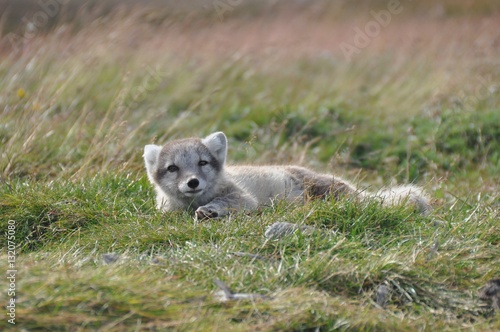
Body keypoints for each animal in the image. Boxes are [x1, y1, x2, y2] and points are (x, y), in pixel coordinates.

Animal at [143, 131, 432, 219]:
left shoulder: (244, 197)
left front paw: (209, 210)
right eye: (173, 168)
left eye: (202, 162)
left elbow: (229, 201)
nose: (192, 182)